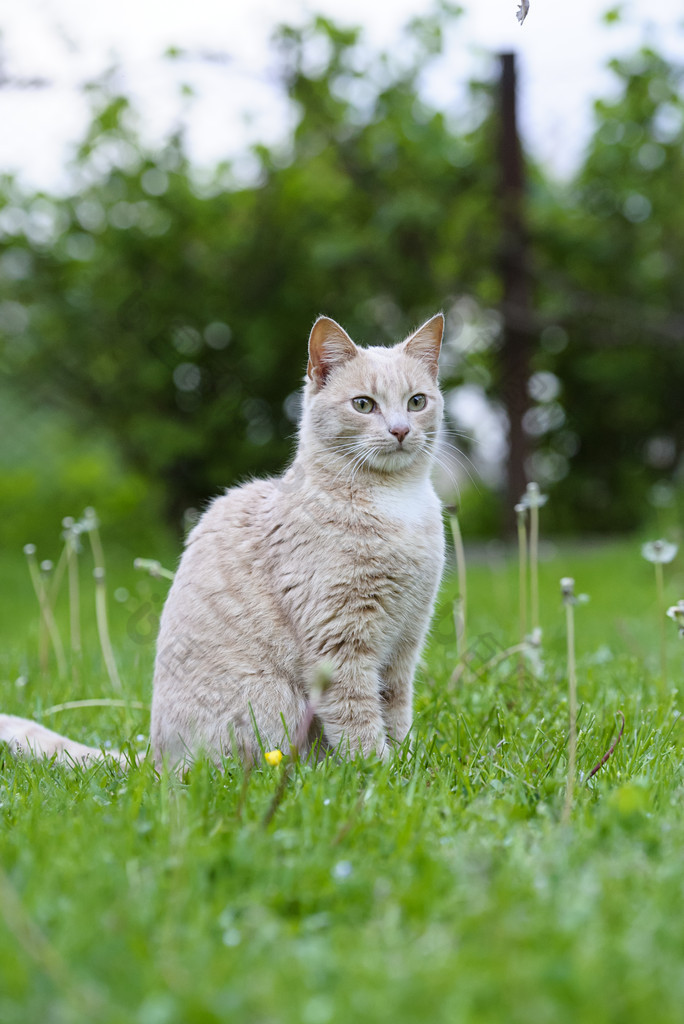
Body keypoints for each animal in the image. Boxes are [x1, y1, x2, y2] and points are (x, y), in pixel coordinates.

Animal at [0, 311, 446, 770]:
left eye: (416, 402)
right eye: (363, 404)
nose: (400, 430)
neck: (397, 503)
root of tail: (154, 758)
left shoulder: (404, 644)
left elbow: (395, 710)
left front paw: (405, 761)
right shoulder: (341, 643)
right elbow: (358, 719)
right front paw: (378, 770)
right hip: (270, 706)